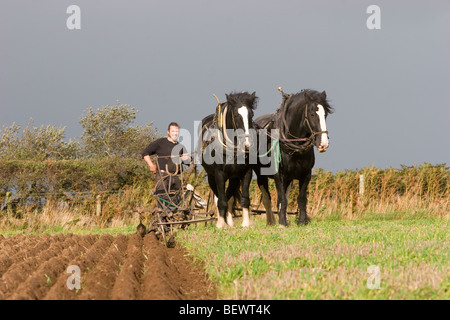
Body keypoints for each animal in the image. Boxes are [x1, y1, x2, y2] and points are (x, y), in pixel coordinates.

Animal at [199, 91, 258, 229]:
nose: (247, 144)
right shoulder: (219, 174)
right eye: (236, 115)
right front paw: (221, 224)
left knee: (229, 197)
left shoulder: (246, 173)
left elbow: (244, 199)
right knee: (219, 198)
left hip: (233, 178)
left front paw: (246, 223)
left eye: (251, 114)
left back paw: (229, 221)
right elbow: (221, 201)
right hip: (211, 177)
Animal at [253, 89, 334, 226]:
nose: (323, 144)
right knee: (267, 198)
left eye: (326, 114)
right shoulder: (279, 175)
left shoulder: (306, 174)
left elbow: (301, 198)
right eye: (312, 114)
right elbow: (282, 199)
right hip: (261, 175)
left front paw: (301, 221)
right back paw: (271, 221)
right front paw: (282, 222)